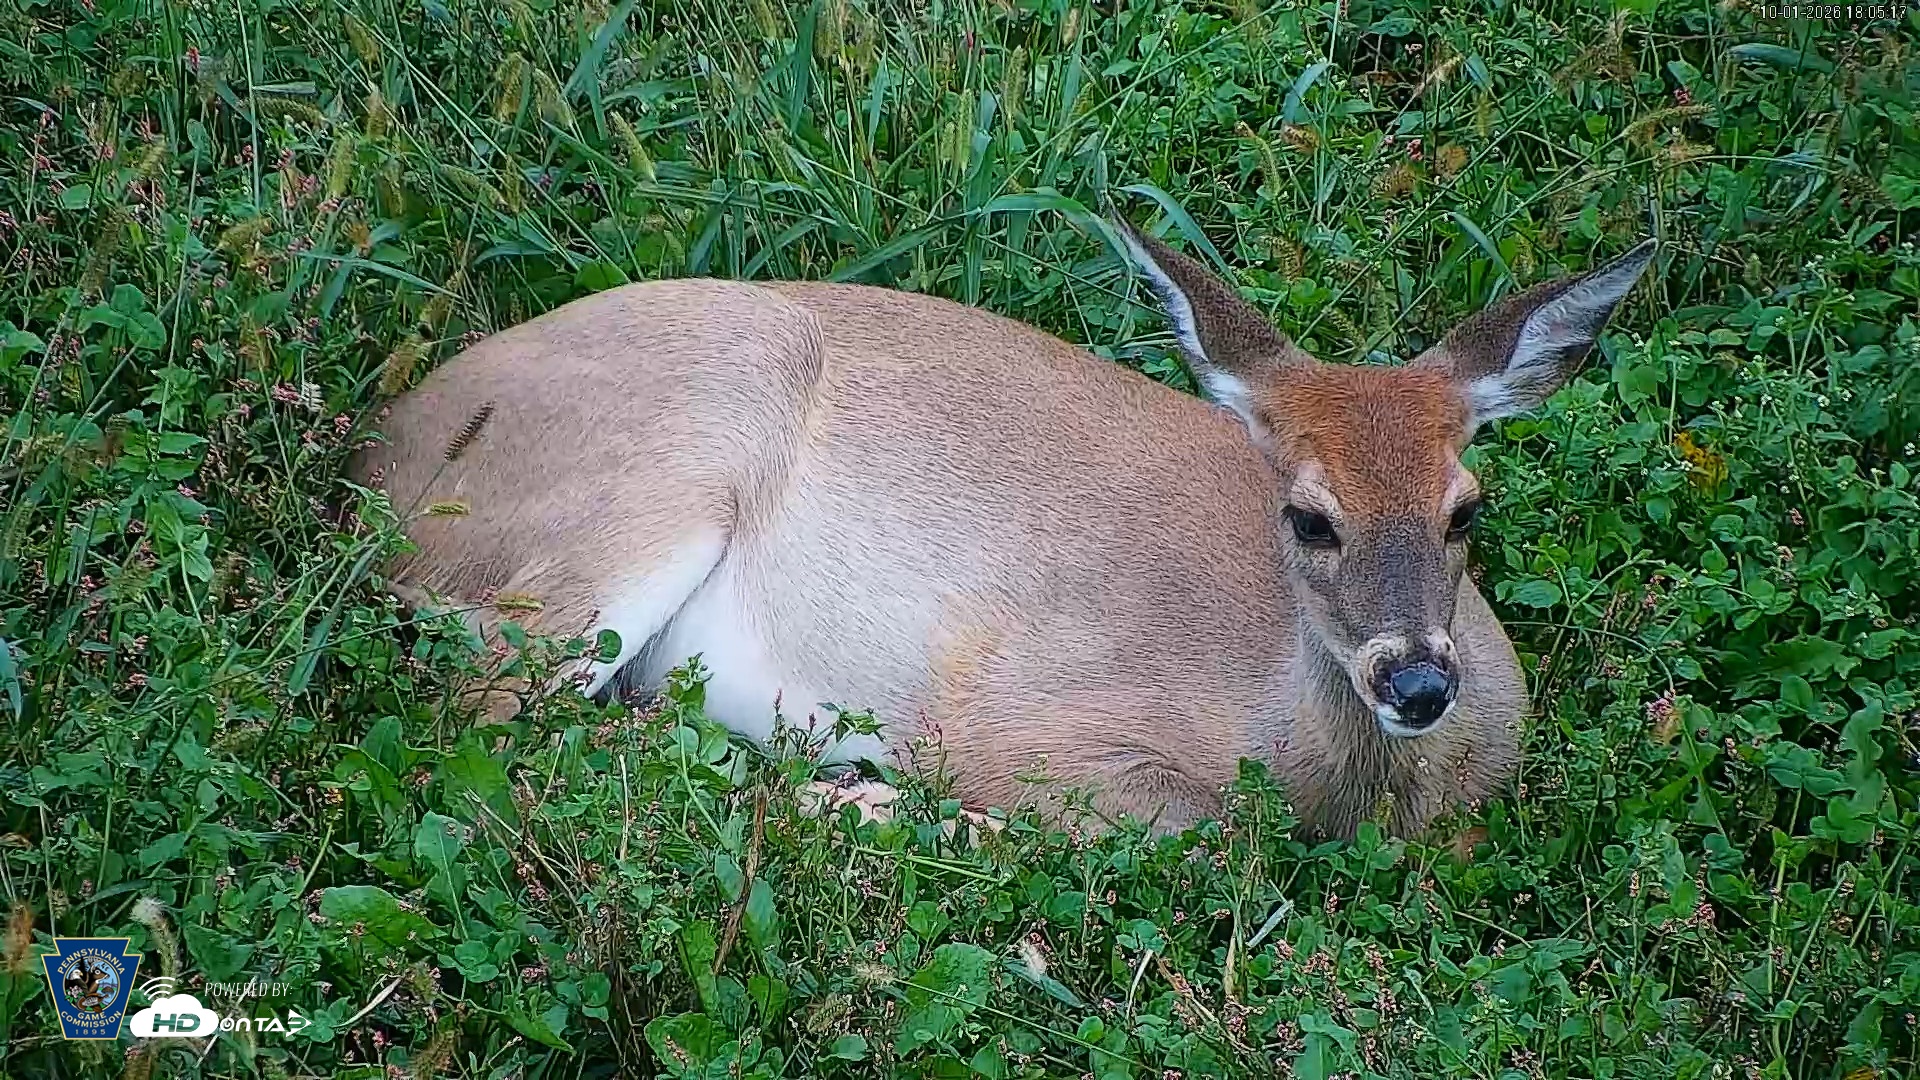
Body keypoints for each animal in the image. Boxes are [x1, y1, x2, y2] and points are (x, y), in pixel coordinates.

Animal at [347, 222, 1656, 840]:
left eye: (1465, 508)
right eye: (1308, 518)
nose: (1420, 682)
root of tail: (376, 454)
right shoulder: (1026, 721)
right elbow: (1197, 835)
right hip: (655, 478)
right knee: (495, 720)